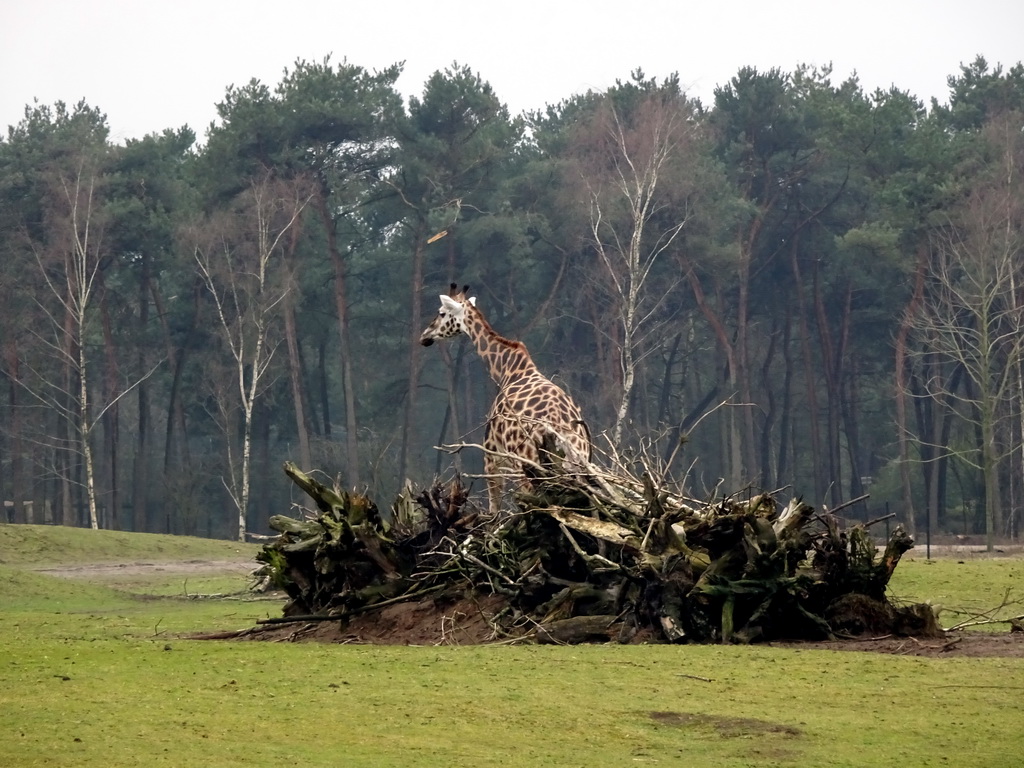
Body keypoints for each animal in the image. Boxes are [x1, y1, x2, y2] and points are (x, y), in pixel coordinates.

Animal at [417, 286, 593, 514]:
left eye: (441, 312)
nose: (425, 336)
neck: (507, 370)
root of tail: (560, 430)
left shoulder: (491, 455)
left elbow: (494, 510)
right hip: (578, 467)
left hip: (528, 468)